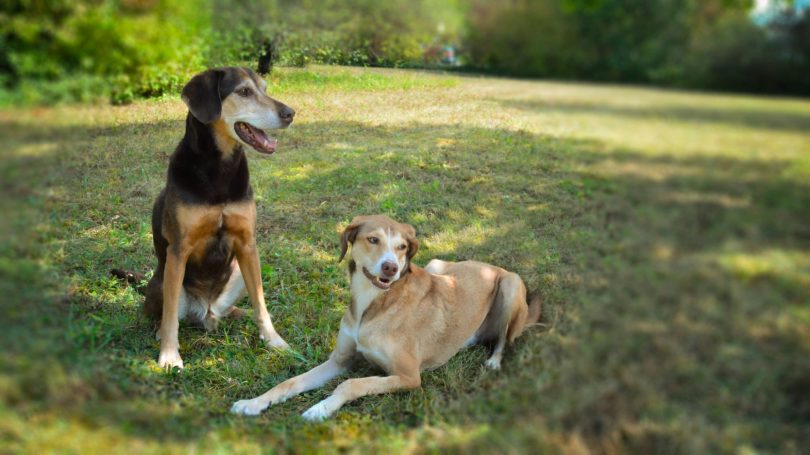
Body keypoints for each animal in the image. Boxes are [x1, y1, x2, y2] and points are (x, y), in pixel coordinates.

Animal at [118, 67, 296, 370]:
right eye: (244, 92)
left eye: (265, 88)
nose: (290, 113)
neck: (220, 167)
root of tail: (205, 311)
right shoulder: (179, 250)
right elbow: (169, 318)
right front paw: (169, 355)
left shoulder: (248, 245)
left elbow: (261, 302)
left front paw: (273, 339)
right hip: (164, 281)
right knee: (163, 315)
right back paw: (160, 332)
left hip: (239, 272)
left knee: (237, 306)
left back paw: (239, 315)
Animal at [230, 216, 540, 422]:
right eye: (373, 239)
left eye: (402, 247)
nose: (391, 267)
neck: (374, 305)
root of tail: (490, 265)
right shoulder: (340, 360)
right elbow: (291, 382)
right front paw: (253, 403)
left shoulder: (409, 376)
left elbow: (352, 384)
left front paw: (321, 408)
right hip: (436, 265)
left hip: (510, 285)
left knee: (504, 338)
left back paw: (494, 361)